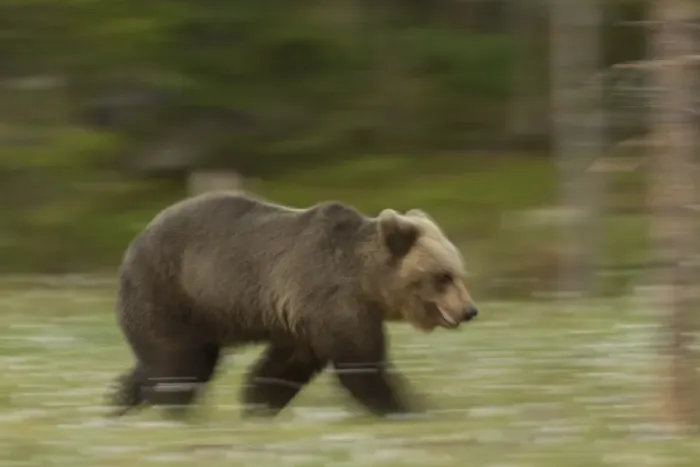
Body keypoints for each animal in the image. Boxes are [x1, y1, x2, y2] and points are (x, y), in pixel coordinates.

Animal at [108, 192, 479, 419]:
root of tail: (135, 240)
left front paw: (257, 405)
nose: (469, 310)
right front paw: (410, 407)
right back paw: (174, 410)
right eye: (443, 276)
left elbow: (281, 370)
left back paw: (118, 404)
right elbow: (361, 365)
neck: (366, 280)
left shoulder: (301, 321)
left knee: (165, 362)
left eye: (460, 273)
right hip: (169, 292)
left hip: (199, 313)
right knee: (179, 362)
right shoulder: (332, 300)